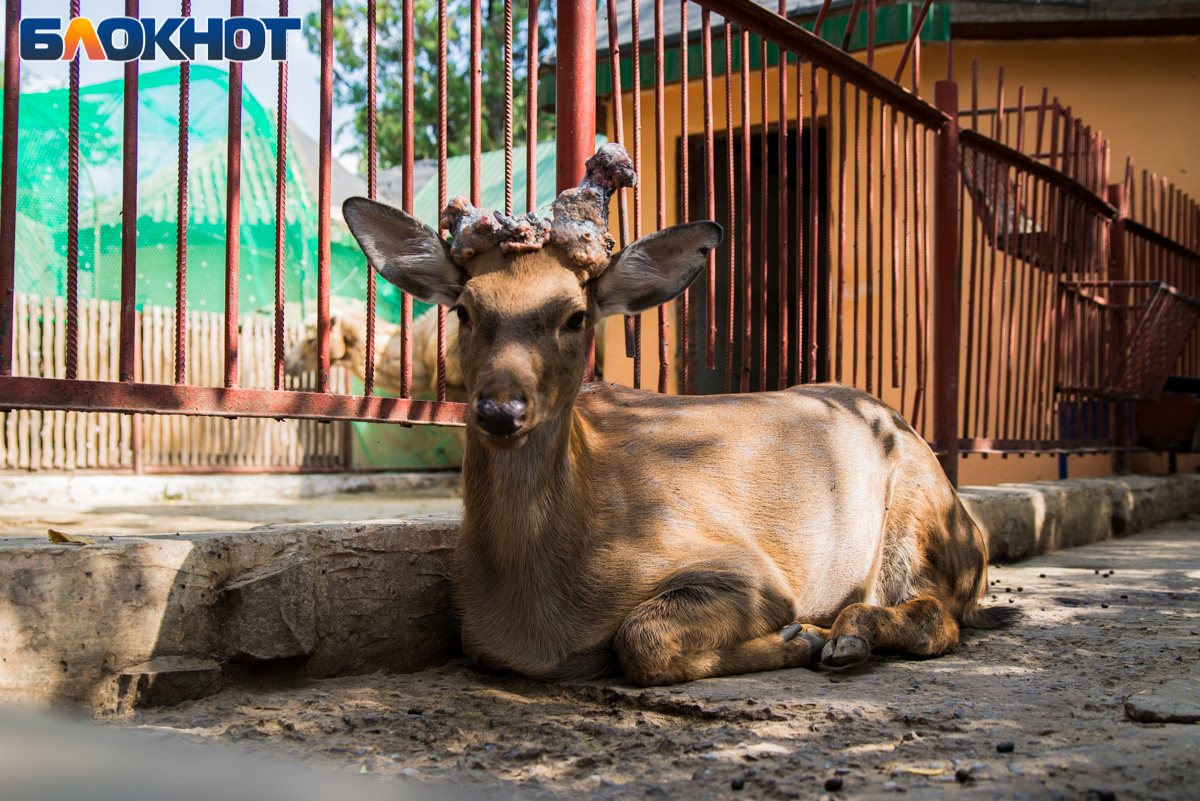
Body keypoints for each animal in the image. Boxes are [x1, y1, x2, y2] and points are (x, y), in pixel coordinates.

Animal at [343, 143, 1017, 690]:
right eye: (464, 309)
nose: (500, 409)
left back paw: (847, 634)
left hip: (926, 513)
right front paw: (802, 637)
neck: (537, 614)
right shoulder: (476, 636)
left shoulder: (744, 564)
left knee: (939, 618)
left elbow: (640, 637)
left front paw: (800, 635)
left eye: (576, 315)